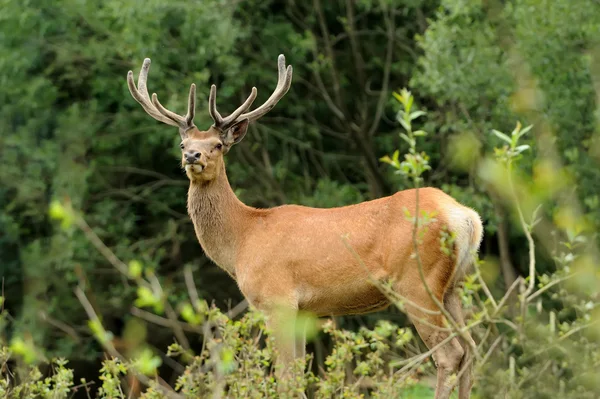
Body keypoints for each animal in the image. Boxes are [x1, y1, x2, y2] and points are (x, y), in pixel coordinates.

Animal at [126, 54, 482, 399]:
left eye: (217, 144)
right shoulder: (303, 311)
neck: (243, 239)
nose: (193, 156)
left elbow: (286, 379)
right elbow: (298, 377)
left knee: (450, 353)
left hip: (416, 281)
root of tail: (465, 217)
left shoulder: (277, 299)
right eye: (183, 145)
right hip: (452, 285)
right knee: (471, 348)